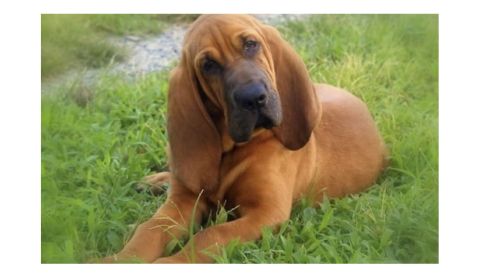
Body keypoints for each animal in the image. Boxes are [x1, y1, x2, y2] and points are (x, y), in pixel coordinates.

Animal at [105, 14, 386, 264]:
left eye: (251, 44)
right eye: (208, 65)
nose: (253, 97)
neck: (232, 148)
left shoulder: (266, 213)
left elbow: (211, 235)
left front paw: (170, 264)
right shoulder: (182, 202)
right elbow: (149, 229)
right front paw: (120, 260)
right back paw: (155, 180)